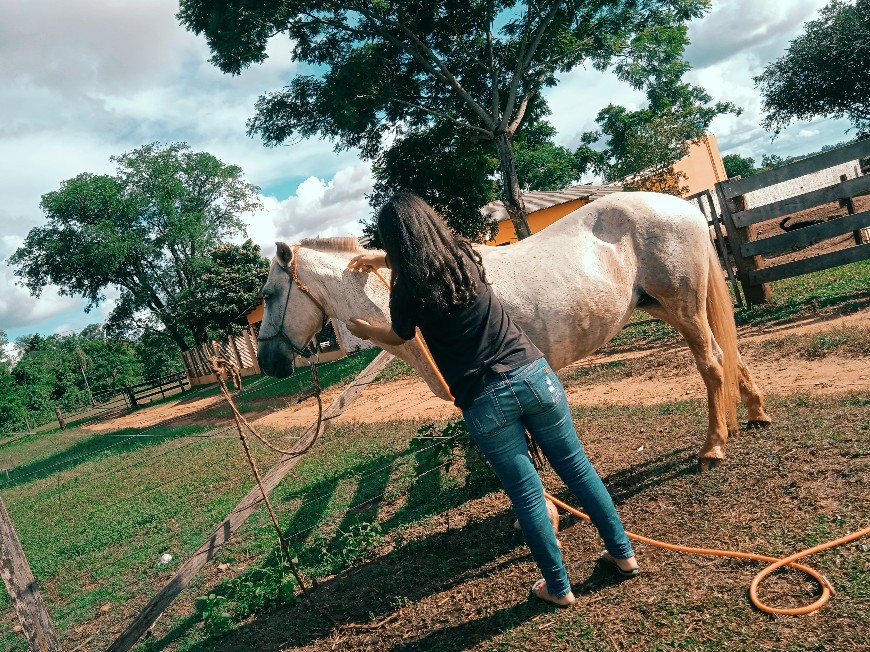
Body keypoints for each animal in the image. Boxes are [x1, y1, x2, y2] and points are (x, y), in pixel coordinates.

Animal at [256, 191, 771, 470]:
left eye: (269, 294)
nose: (268, 361)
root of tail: (683, 208)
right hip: (670, 309)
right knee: (729, 355)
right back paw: (756, 413)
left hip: (684, 308)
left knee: (712, 364)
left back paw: (713, 447)